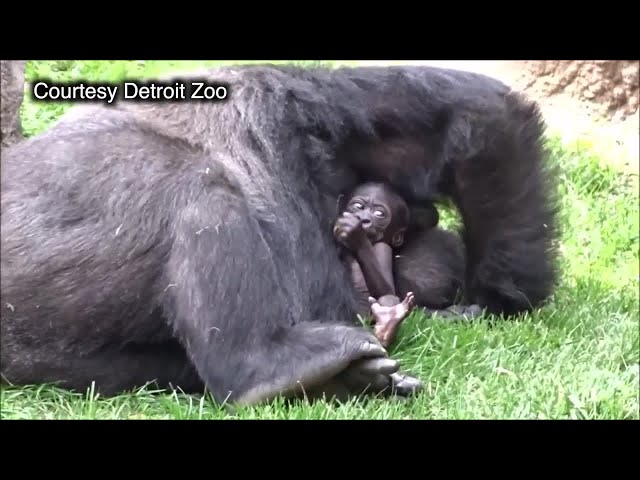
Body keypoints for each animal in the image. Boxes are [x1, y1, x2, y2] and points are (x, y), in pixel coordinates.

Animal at [332, 182, 438, 346]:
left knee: (388, 299)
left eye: (379, 214)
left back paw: (387, 325)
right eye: (358, 206)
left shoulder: (383, 248)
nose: (364, 219)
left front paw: (356, 236)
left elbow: (384, 289)